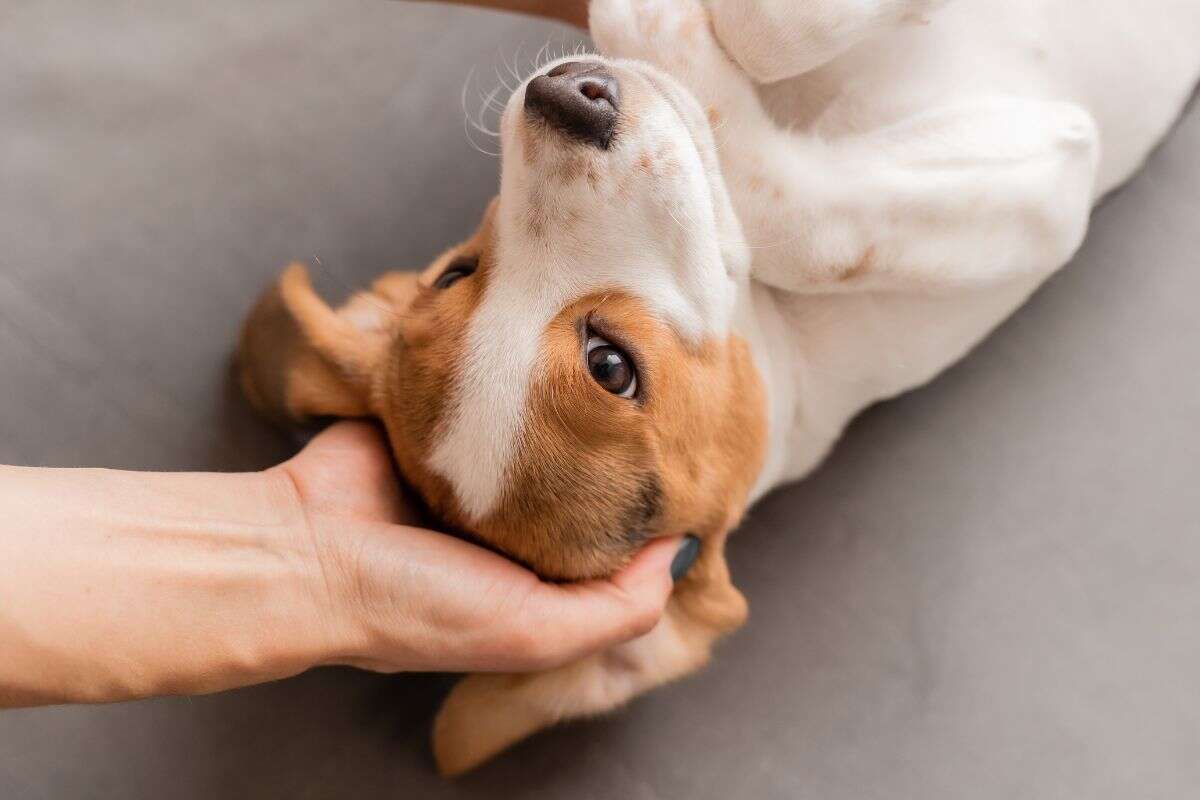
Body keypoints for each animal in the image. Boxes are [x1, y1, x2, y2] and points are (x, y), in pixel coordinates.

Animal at [236, 0, 1200, 777]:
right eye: (612, 366)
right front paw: (670, 33)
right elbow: (807, 220)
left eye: (453, 273)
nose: (566, 94)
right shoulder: (1048, 178)